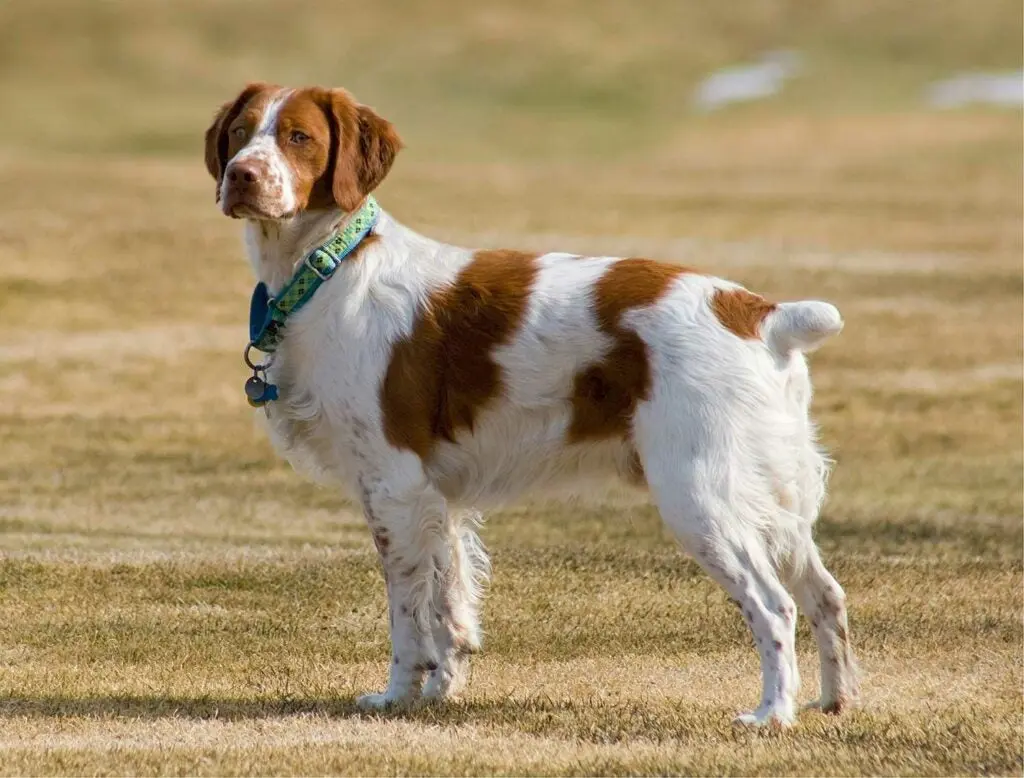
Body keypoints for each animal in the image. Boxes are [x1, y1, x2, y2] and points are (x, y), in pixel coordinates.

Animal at [199, 81, 856, 724]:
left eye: (299, 137)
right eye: (240, 132)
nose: (241, 175)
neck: (330, 270)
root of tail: (760, 313)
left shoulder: (393, 486)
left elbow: (408, 614)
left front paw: (396, 697)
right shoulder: (438, 499)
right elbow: (450, 605)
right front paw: (439, 694)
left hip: (700, 495)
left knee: (774, 605)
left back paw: (772, 713)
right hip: (775, 498)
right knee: (825, 594)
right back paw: (833, 702)